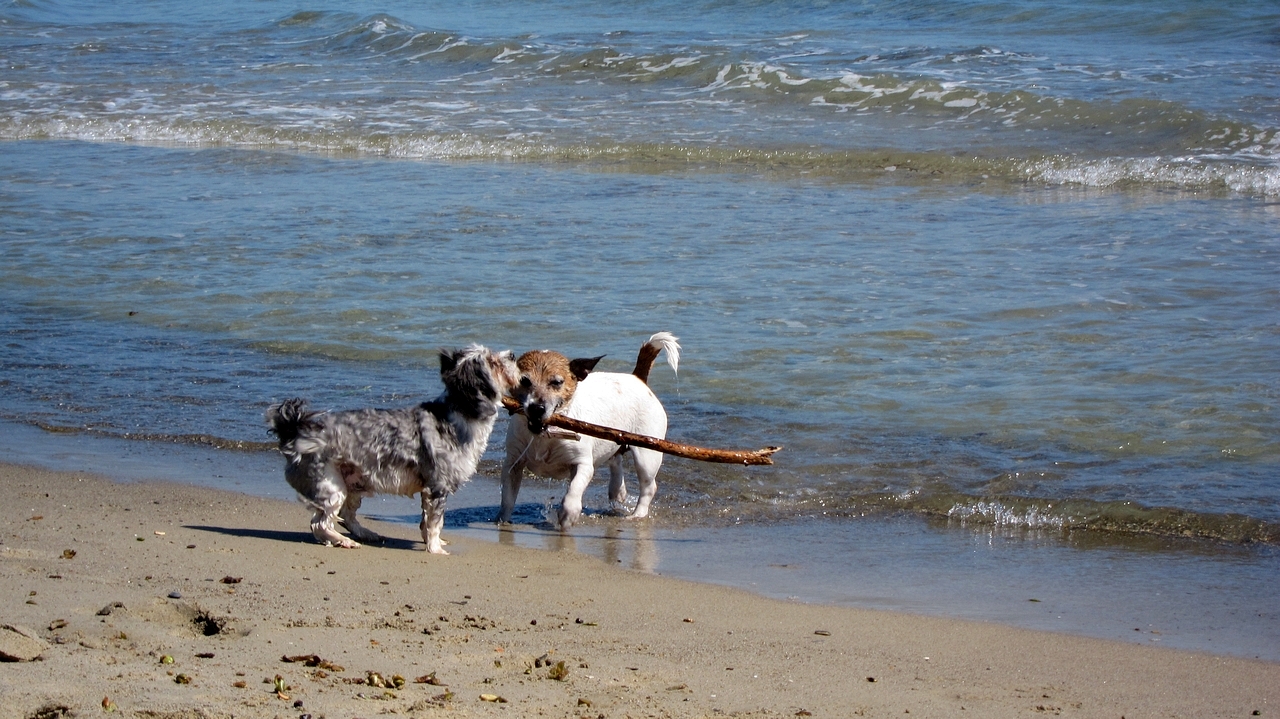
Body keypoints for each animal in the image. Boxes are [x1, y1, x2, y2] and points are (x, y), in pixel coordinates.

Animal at [266, 345, 518, 553]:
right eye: (493, 361)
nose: (512, 354)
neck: (461, 413)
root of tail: (295, 431)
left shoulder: (427, 490)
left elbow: (425, 522)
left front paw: (432, 541)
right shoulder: (437, 487)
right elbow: (435, 522)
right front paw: (435, 548)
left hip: (354, 484)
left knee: (346, 516)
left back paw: (364, 533)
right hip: (331, 486)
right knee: (319, 523)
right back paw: (343, 540)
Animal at [499, 332, 680, 528]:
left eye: (557, 382)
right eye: (524, 380)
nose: (536, 408)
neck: (545, 434)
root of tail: (637, 379)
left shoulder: (583, 465)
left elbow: (574, 490)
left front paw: (568, 513)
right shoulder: (513, 463)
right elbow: (507, 499)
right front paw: (502, 521)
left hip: (647, 454)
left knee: (649, 486)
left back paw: (637, 514)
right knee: (616, 460)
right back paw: (617, 490)